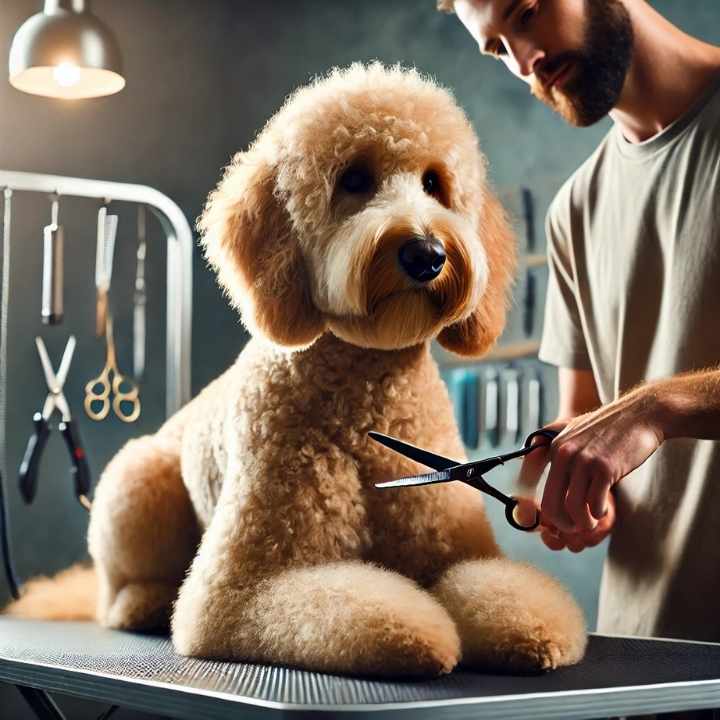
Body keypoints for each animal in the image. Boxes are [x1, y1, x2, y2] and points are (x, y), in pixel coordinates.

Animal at [7, 62, 584, 676]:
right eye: (354, 179)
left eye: (434, 184)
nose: (426, 254)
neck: (366, 399)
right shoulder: (243, 586)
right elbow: (345, 608)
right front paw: (419, 634)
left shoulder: (453, 541)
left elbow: (497, 587)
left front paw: (533, 628)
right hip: (136, 482)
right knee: (113, 589)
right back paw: (144, 602)